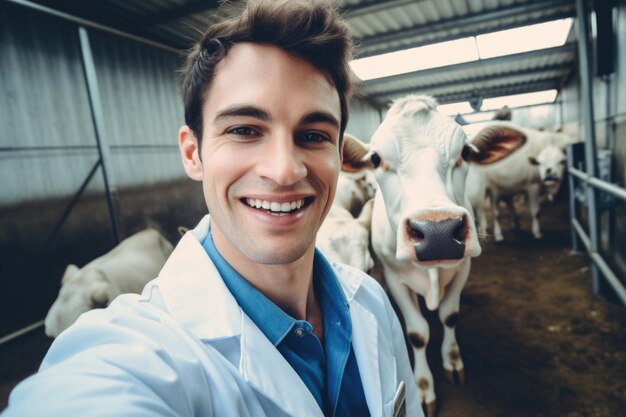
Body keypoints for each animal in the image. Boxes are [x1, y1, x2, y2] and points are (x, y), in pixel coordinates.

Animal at [338, 94, 524, 416]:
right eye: (375, 159)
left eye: (466, 152)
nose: (438, 233)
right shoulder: (393, 277)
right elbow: (417, 333)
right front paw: (424, 387)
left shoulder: (462, 270)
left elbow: (450, 316)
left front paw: (452, 360)